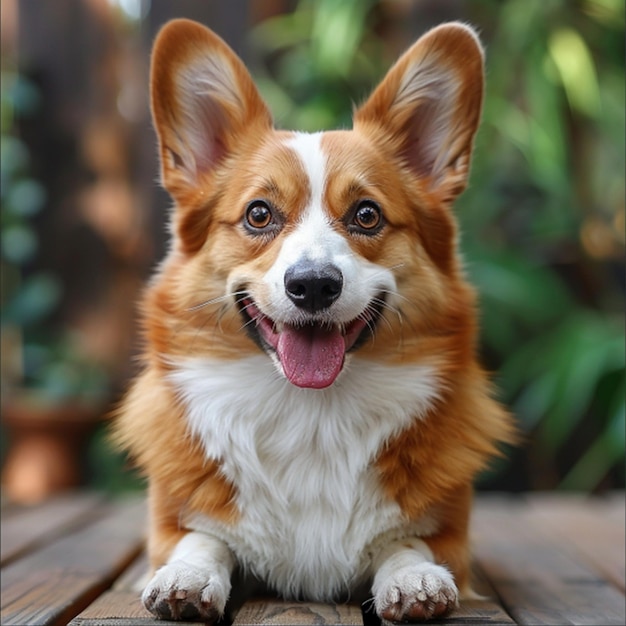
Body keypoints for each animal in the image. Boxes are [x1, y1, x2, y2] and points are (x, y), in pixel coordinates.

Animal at [114, 17, 516, 620]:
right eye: (259, 214)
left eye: (367, 215)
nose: (313, 285)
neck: (310, 416)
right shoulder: (174, 521)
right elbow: (201, 538)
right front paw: (186, 577)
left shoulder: (449, 533)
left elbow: (408, 542)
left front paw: (415, 578)